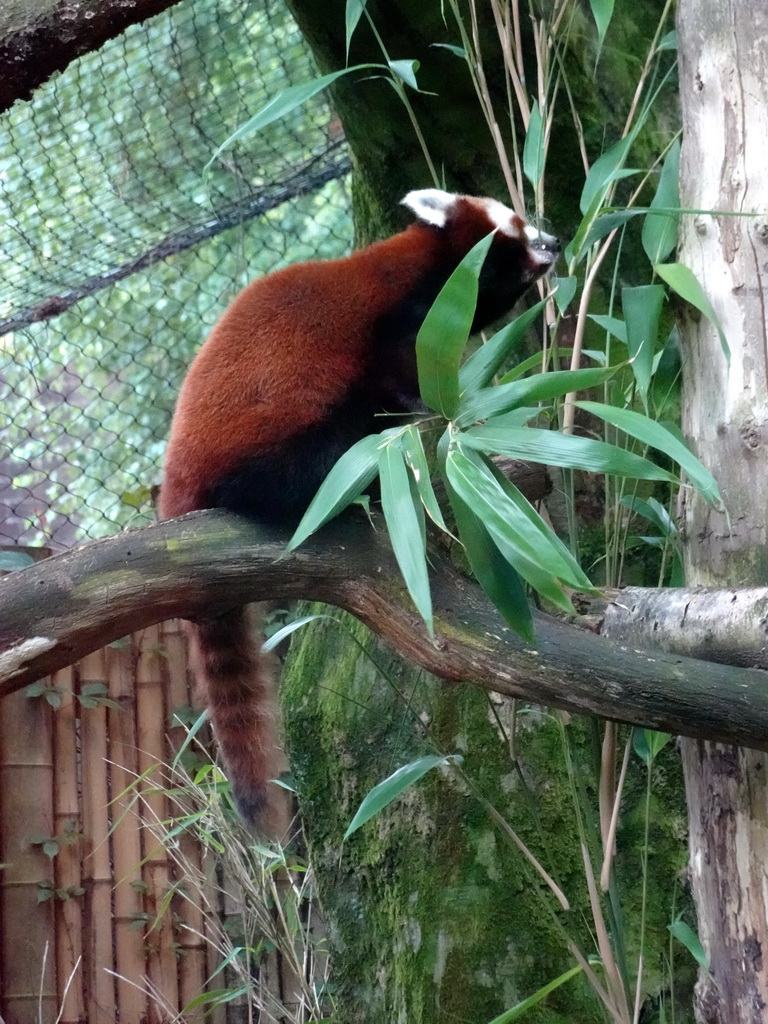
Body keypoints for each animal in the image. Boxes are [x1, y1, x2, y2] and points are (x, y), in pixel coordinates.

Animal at [160, 190, 561, 831]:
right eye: (517, 227)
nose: (556, 241)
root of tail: (177, 482)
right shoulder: (398, 328)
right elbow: (402, 381)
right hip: (266, 438)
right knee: (306, 463)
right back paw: (355, 491)